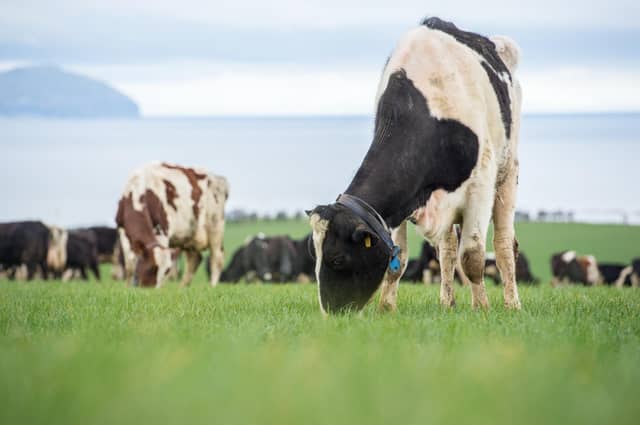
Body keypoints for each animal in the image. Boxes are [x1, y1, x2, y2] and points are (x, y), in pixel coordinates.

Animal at [307, 17, 522, 313]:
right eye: (313, 257)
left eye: (337, 258)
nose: (331, 315)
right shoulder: (399, 202)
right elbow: (398, 262)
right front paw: (387, 308)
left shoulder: (480, 188)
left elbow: (473, 257)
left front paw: (482, 309)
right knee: (447, 250)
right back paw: (447, 302)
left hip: (507, 171)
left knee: (503, 245)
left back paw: (512, 303)